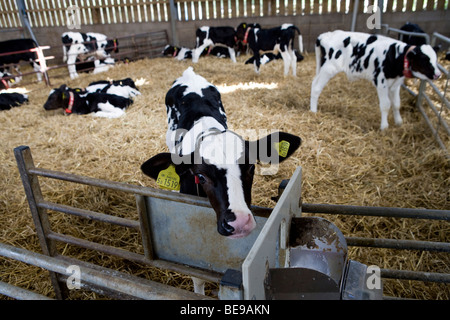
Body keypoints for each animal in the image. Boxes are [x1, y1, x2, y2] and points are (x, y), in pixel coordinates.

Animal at [312, 30, 442, 130]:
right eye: (424, 59)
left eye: (435, 58)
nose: (438, 74)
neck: (394, 56)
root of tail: (324, 35)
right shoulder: (381, 82)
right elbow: (385, 105)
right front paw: (384, 127)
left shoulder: (396, 84)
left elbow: (396, 103)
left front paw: (399, 122)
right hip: (329, 68)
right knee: (316, 88)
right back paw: (313, 111)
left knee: (313, 83)